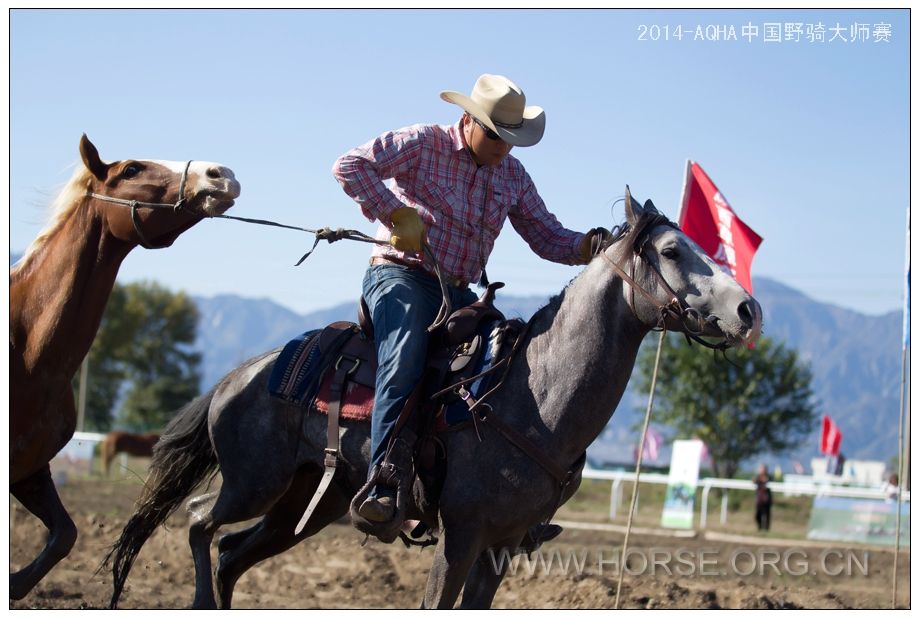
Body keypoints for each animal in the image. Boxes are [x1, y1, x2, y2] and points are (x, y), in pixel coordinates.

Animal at [104, 192, 760, 608]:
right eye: (672, 251)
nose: (748, 309)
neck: (532, 396)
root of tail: (240, 374)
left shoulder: (501, 548)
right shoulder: (462, 534)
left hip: (305, 503)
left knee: (230, 553)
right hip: (253, 482)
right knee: (198, 523)